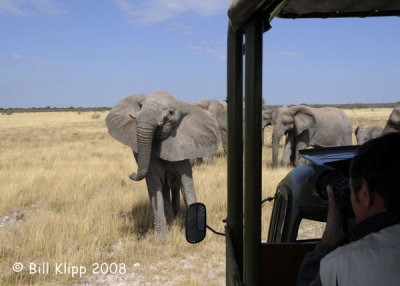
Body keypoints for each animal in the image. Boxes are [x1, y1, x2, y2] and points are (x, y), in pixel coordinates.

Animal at [104, 91, 220, 239]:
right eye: (141, 106)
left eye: (170, 112)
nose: (131, 174)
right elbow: (154, 185)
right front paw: (161, 240)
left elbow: (186, 183)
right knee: (166, 187)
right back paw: (171, 218)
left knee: (176, 186)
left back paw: (177, 217)